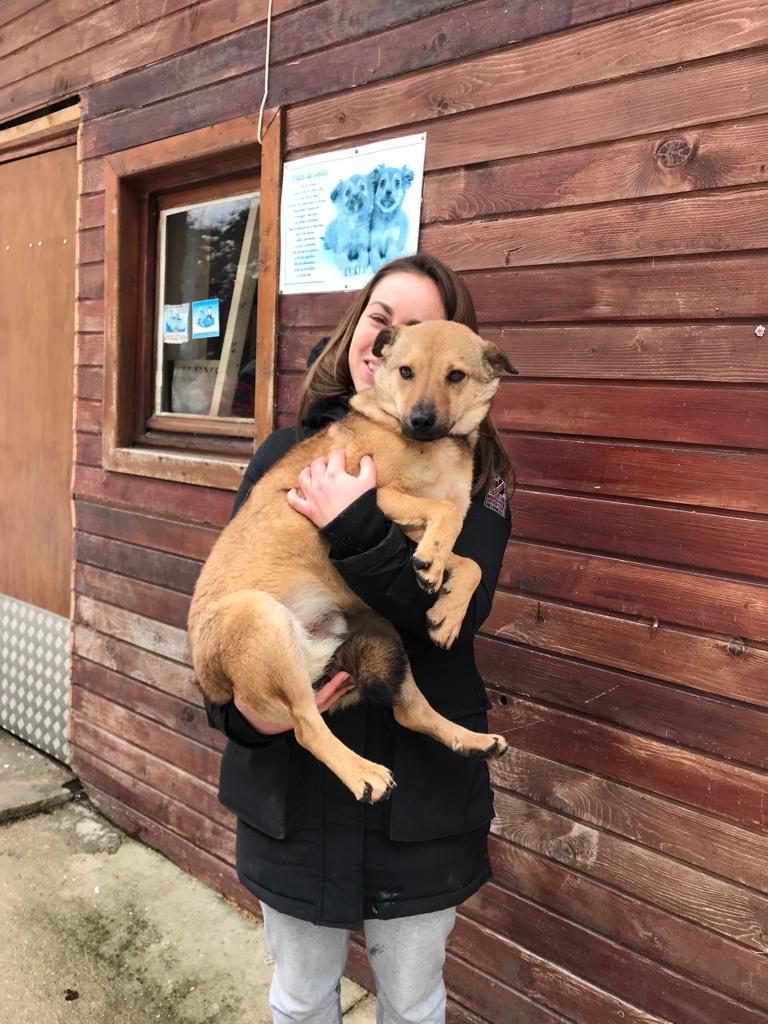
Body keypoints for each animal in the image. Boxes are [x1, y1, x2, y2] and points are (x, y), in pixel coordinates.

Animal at [189, 323, 518, 802]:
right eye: (406, 371)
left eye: (455, 375)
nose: (420, 420)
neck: (433, 446)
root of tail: (210, 679)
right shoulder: (374, 497)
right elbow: (446, 514)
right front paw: (439, 574)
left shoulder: (410, 537)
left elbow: (469, 562)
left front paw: (447, 611)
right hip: (261, 621)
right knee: (306, 726)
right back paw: (363, 773)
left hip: (382, 629)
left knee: (409, 712)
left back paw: (470, 739)